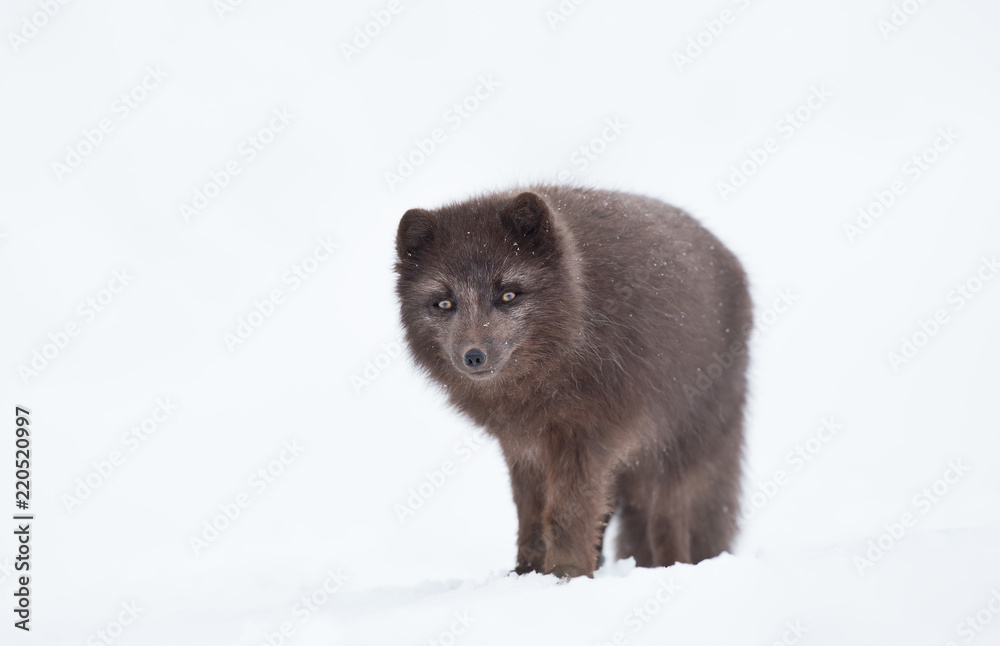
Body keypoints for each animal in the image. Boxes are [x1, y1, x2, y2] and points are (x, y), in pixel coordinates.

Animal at [394, 186, 751, 578]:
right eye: (444, 303)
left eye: (508, 295)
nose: (473, 356)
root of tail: (729, 257)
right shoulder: (523, 444)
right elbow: (532, 515)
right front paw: (528, 573)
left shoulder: (586, 436)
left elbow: (567, 511)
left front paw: (567, 573)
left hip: (676, 448)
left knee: (667, 519)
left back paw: (671, 568)